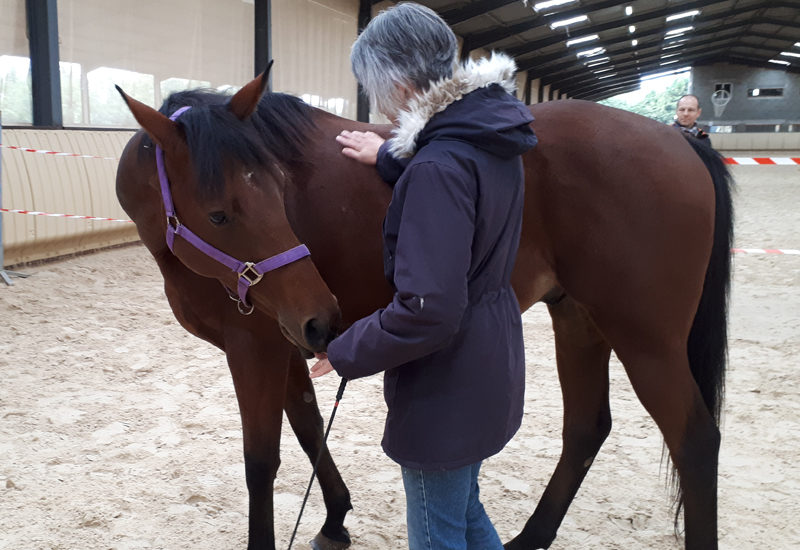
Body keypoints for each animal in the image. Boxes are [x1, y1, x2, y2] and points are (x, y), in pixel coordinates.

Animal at [115, 64, 736, 550]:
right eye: (220, 213)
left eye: (278, 189)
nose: (326, 316)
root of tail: (682, 142)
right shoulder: (290, 339)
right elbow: (311, 425)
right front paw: (335, 518)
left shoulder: (256, 346)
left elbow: (261, 461)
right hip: (579, 319)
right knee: (586, 427)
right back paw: (530, 537)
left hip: (646, 340)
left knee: (695, 441)